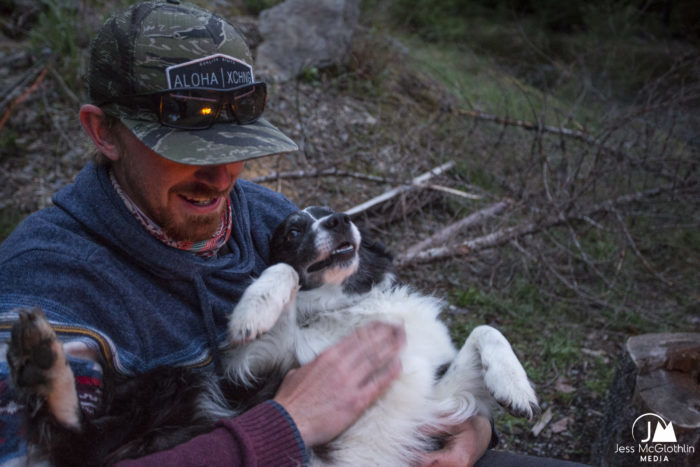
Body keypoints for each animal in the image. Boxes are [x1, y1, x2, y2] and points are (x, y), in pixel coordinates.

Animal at [8, 207, 540, 466]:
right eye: (293, 229)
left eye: (342, 215)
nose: (341, 222)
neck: (348, 306)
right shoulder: (257, 369)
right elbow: (282, 276)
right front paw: (254, 308)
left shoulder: (431, 394)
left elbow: (486, 329)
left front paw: (515, 386)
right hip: (175, 386)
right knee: (73, 439)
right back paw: (41, 358)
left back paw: (40, 358)